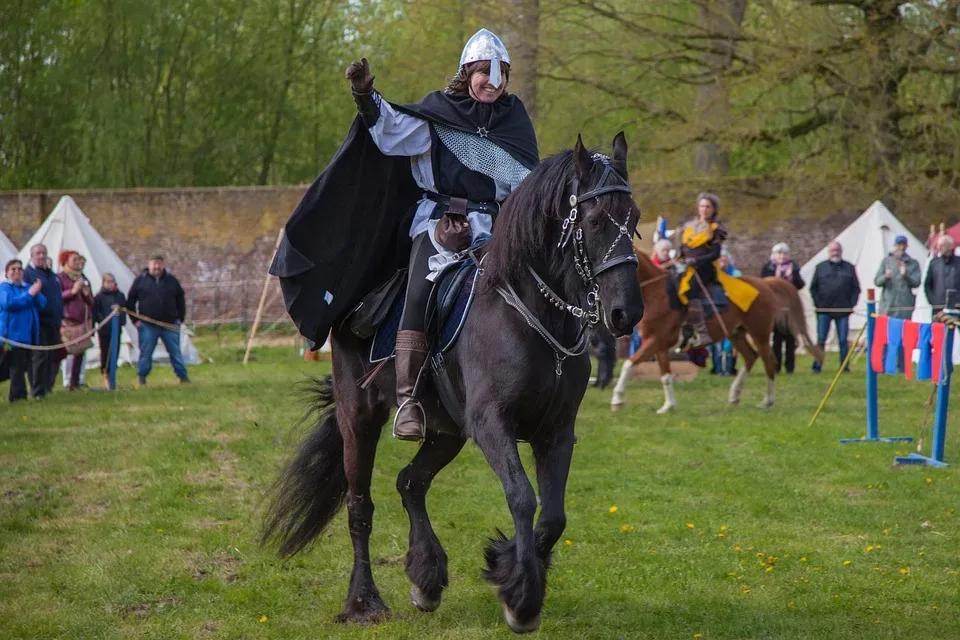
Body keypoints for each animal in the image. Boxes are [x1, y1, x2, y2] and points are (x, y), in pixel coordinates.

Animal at [260, 132, 644, 632]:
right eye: (596, 220)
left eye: (634, 218)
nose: (625, 313)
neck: (529, 314)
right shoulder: (492, 425)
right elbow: (523, 498)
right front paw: (521, 598)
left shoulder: (556, 433)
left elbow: (553, 517)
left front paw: (507, 566)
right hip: (359, 416)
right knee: (360, 505)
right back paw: (364, 600)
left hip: (446, 432)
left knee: (410, 482)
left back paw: (426, 578)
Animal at [612, 248, 820, 412]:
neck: (657, 294)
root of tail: (765, 284)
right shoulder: (659, 345)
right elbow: (665, 375)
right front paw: (668, 405)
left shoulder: (656, 340)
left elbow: (629, 364)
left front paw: (617, 399)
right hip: (736, 333)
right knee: (750, 356)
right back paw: (735, 395)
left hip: (759, 334)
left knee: (769, 362)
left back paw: (767, 401)